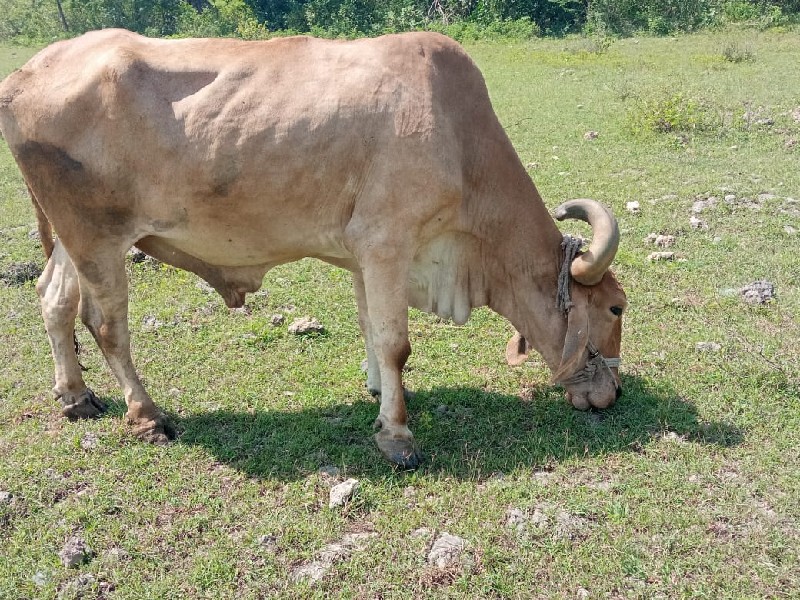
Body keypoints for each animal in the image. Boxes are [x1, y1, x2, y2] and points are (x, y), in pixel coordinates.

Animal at [0, 28, 624, 468]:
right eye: (616, 308)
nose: (612, 394)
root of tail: (25, 74)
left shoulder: (362, 255)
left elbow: (372, 328)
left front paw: (377, 392)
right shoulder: (388, 243)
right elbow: (396, 343)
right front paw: (397, 436)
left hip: (77, 241)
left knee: (54, 299)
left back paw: (76, 396)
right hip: (97, 237)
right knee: (106, 325)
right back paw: (147, 415)